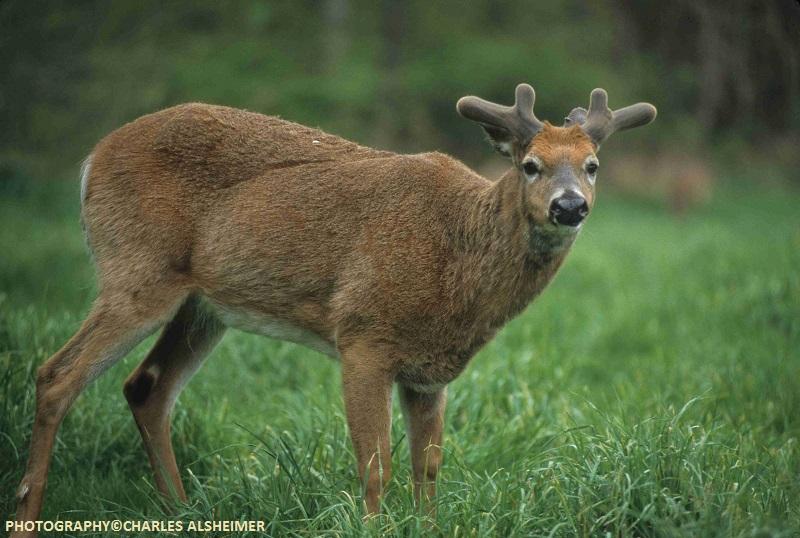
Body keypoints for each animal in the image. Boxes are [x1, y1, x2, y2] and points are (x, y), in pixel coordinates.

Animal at [12, 84, 656, 532]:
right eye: (530, 165)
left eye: (593, 166)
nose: (570, 206)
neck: (458, 259)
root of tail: (92, 159)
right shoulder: (363, 333)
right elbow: (376, 465)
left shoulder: (430, 372)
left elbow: (427, 470)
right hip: (136, 269)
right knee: (55, 375)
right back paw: (28, 516)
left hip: (203, 306)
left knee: (146, 387)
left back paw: (182, 513)